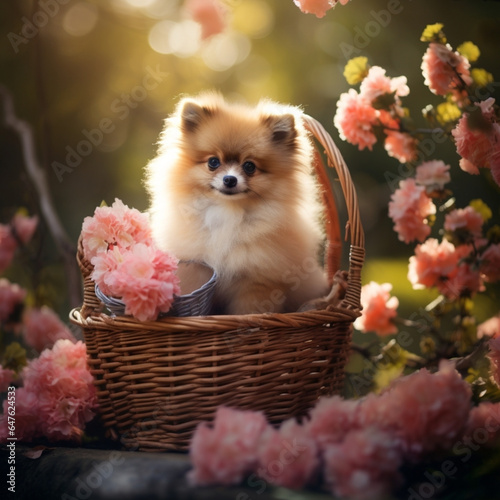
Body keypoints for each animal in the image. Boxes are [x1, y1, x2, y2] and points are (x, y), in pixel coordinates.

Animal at [146, 92, 328, 314]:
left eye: (249, 166)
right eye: (213, 162)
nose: (230, 179)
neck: (227, 211)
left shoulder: (257, 283)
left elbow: (248, 312)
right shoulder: (196, 266)